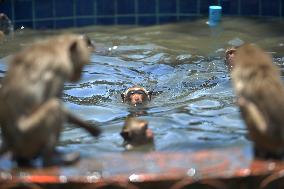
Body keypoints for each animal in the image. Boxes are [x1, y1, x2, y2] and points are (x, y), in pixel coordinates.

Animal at [0, 34, 101, 167]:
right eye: (82, 65)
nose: (80, 75)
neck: (57, 46)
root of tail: (10, 143)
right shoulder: (59, 69)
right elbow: (50, 100)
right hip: (28, 136)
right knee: (54, 106)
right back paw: (51, 159)